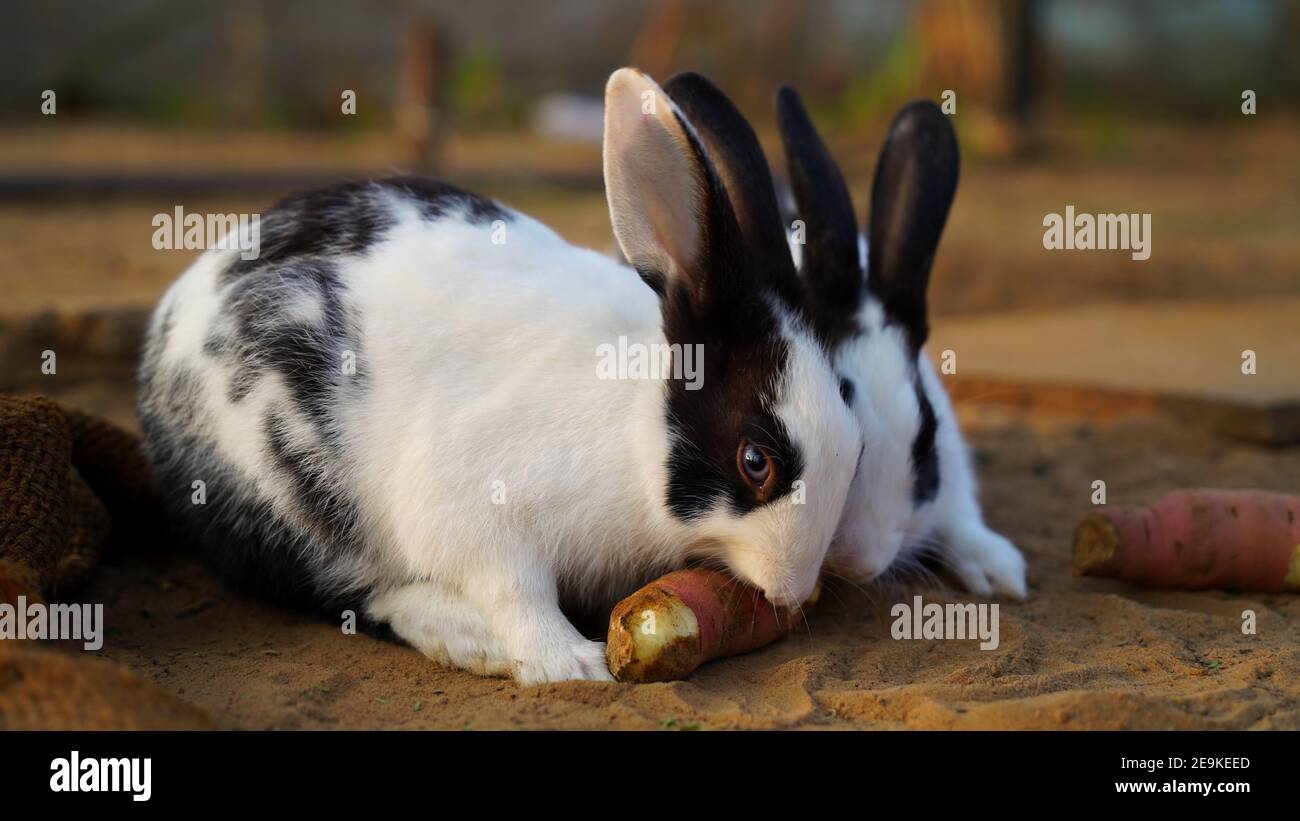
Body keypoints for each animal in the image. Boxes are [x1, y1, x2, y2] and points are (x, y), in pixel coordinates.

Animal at [136, 68, 862, 685]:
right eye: (756, 462)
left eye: (853, 442)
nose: (794, 587)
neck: (632, 427)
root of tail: (167, 321)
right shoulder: (478, 507)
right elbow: (514, 588)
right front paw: (571, 665)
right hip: (290, 494)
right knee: (350, 591)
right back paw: (468, 638)